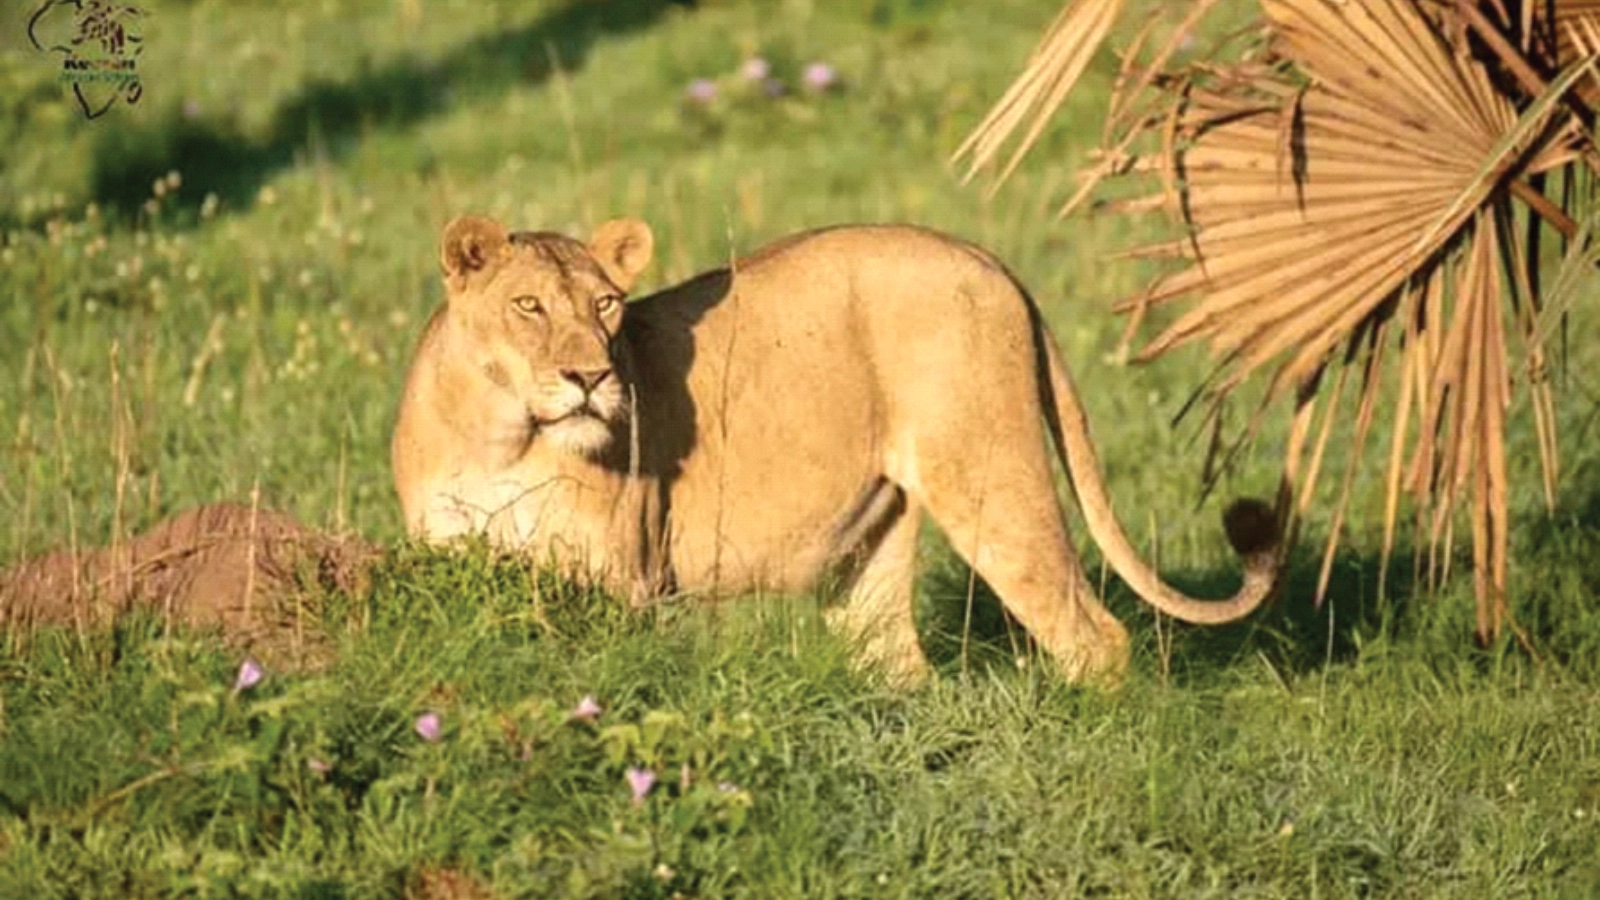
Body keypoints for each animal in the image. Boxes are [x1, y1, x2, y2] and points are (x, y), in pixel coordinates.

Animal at [391, 215, 1283, 686]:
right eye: (529, 306)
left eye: (607, 304)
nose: (592, 376)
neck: (505, 437)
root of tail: (985, 256)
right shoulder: (448, 553)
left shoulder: (622, 580)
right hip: (870, 545)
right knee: (900, 664)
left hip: (991, 477)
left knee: (1094, 637)